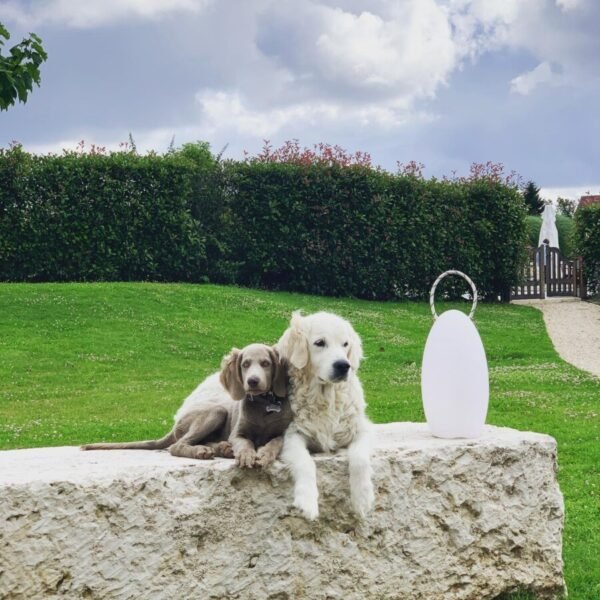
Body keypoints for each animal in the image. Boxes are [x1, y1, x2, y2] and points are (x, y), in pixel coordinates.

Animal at [276, 312, 376, 516]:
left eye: (345, 344)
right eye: (320, 343)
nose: (343, 365)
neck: (327, 398)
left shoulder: (362, 429)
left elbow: (360, 459)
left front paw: (362, 498)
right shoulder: (292, 435)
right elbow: (305, 462)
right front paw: (307, 501)